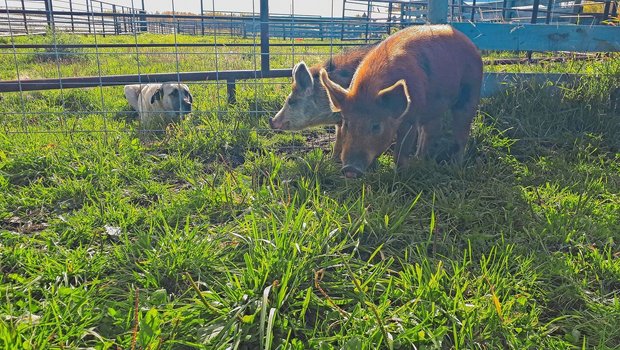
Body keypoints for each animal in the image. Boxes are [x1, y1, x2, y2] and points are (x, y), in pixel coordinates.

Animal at [320, 25, 484, 178]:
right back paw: (419, 160)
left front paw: (399, 176)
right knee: (431, 130)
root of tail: (471, 44)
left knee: (461, 133)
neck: (370, 89)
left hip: (471, 92)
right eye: (347, 124)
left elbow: (400, 152)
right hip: (433, 107)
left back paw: (455, 166)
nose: (350, 170)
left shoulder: (411, 118)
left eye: (376, 126)